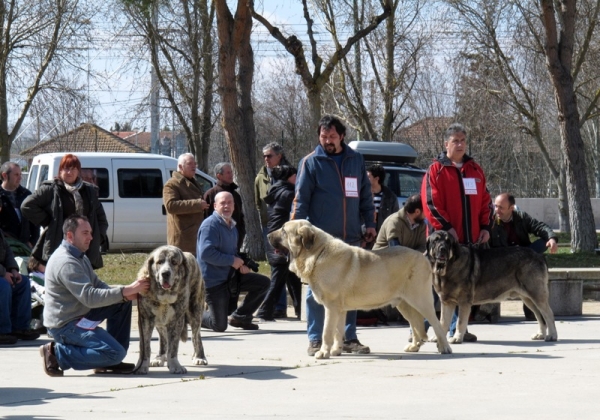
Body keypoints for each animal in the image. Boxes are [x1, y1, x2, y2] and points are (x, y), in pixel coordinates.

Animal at [268, 218, 450, 360]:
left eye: (283, 230)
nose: (268, 235)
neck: (317, 253)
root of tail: (423, 256)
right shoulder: (340, 309)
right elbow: (338, 330)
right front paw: (336, 351)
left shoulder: (331, 307)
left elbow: (327, 331)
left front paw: (323, 352)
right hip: (404, 304)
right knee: (415, 323)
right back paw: (414, 346)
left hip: (420, 300)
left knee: (436, 323)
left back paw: (444, 347)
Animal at [426, 230, 556, 344]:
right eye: (436, 240)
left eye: (448, 241)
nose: (442, 248)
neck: (448, 267)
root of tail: (539, 255)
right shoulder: (447, 302)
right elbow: (443, 321)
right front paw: (439, 338)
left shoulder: (464, 302)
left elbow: (460, 322)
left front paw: (457, 338)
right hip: (528, 298)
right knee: (539, 315)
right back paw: (540, 334)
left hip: (536, 294)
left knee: (548, 314)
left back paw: (552, 336)